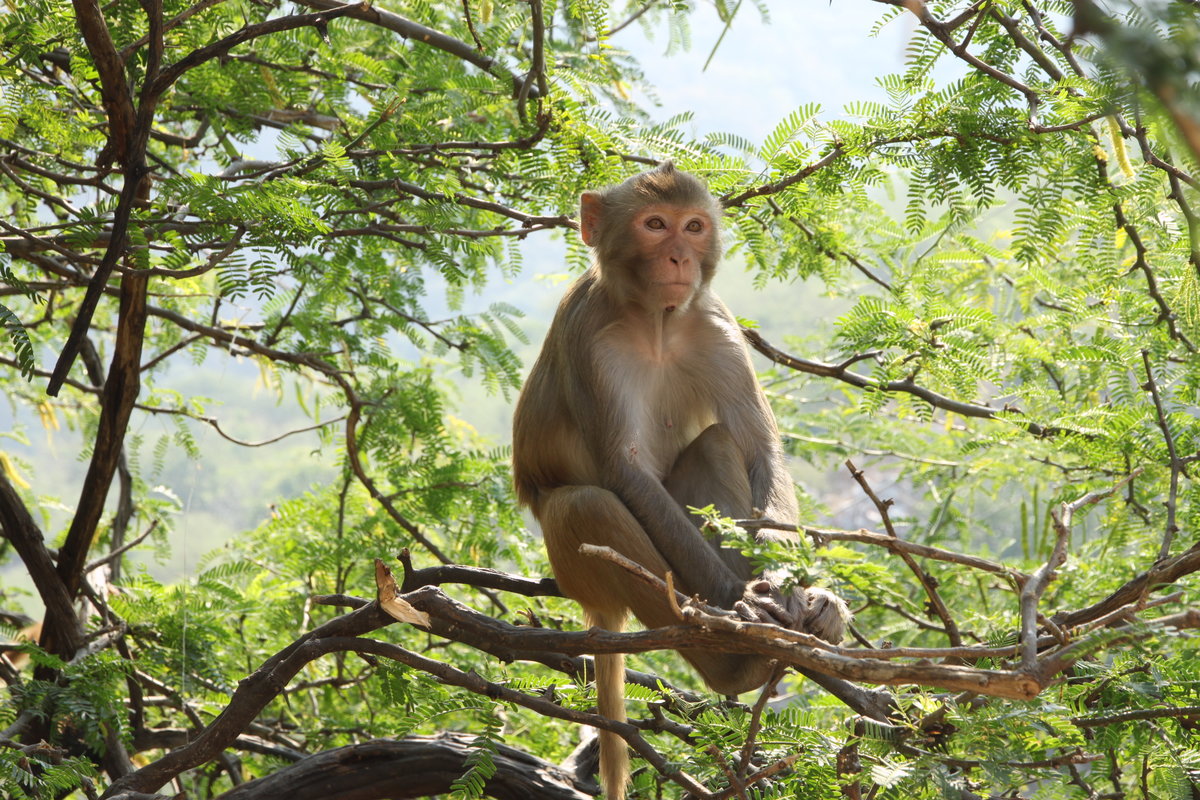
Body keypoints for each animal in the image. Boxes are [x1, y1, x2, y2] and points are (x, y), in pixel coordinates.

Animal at [511, 163, 849, 800]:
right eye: (654, 225)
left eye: (693, 227)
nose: (678, 258)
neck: (657, 322)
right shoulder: (589, 337)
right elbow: (626, 473)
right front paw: (744, 603)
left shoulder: (715, 325)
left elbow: (759, 446)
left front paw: (794, 588)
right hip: (571, 565)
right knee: (586, 505)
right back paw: (735, 666)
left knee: (716, 443)